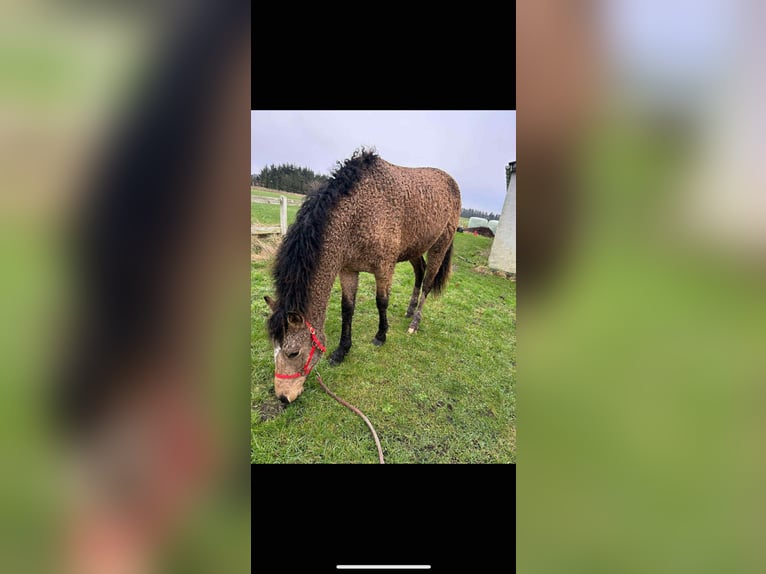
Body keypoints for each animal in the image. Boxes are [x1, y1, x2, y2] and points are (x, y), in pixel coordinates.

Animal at [264, 148, 461, 403]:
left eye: (293, 352)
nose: (283, 397)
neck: (358, 213)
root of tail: (451, 181)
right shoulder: (348, 270)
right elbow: (347, 308)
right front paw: (342, 351)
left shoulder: (385, 268)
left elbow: (381, 301)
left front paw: (381, 336)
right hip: (414, 249)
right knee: (419, 273)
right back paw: (409, 310)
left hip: (441, 243)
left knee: (428, 281)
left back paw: (414, 322)